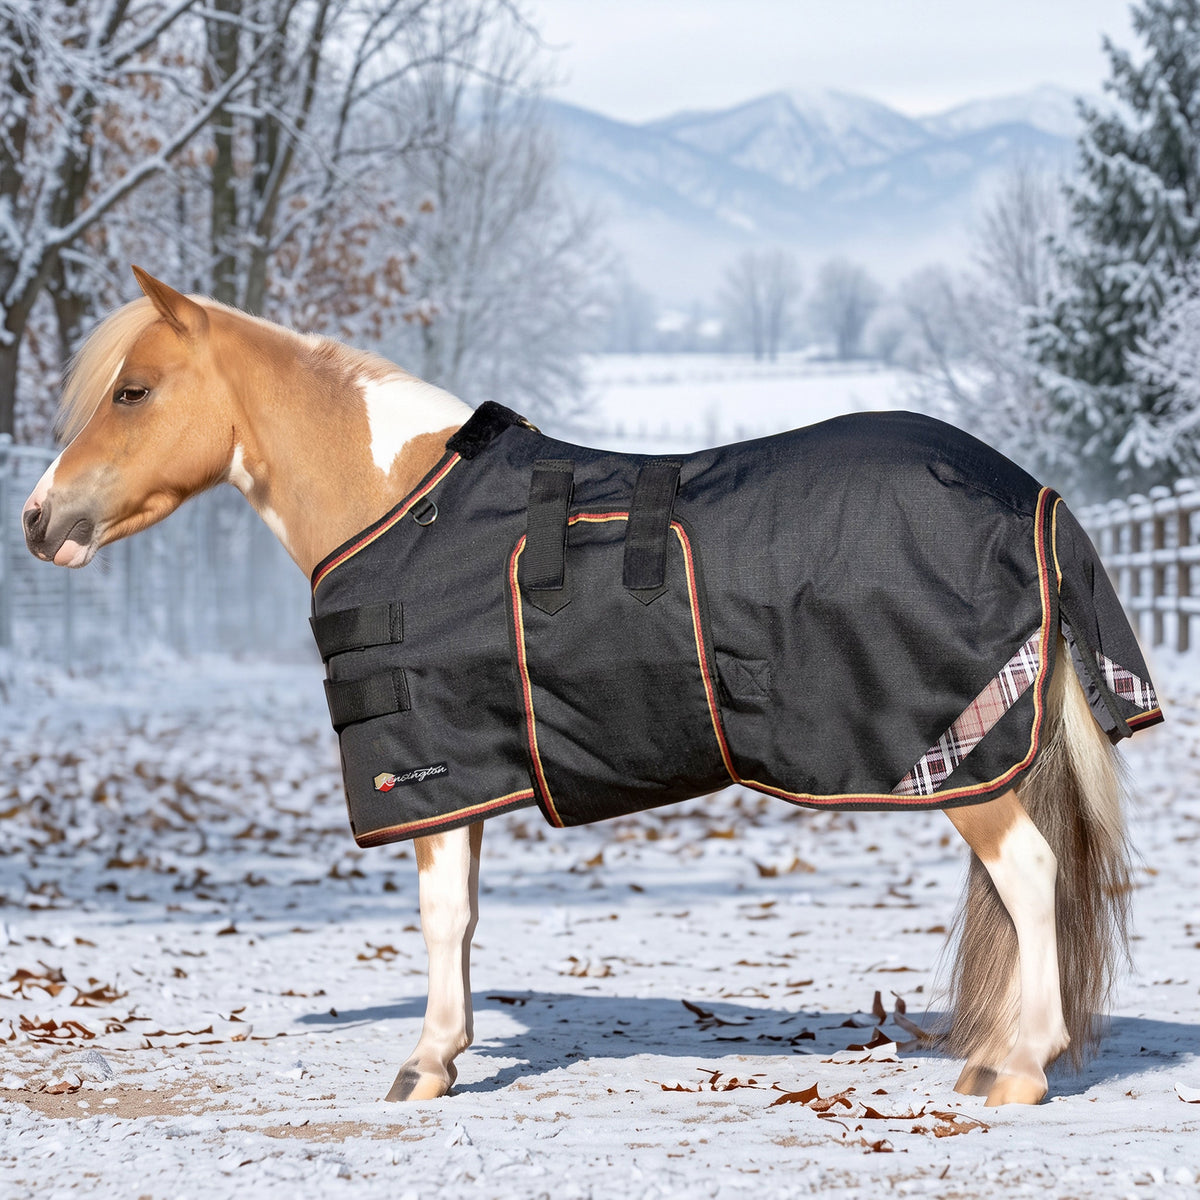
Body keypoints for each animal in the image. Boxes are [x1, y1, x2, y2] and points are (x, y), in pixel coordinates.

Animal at [21, 267, 1160, 1109]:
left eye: (133, 391)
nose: (38, 519)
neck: (405, 504)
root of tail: (1028, 493)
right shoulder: (471, 775)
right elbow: (464, 917)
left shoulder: (434, 770)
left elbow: (439, 916)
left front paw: (425, 1065)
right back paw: (996, 1054)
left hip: (956, 761)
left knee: (1031, 876)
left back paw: (1021, 1071)